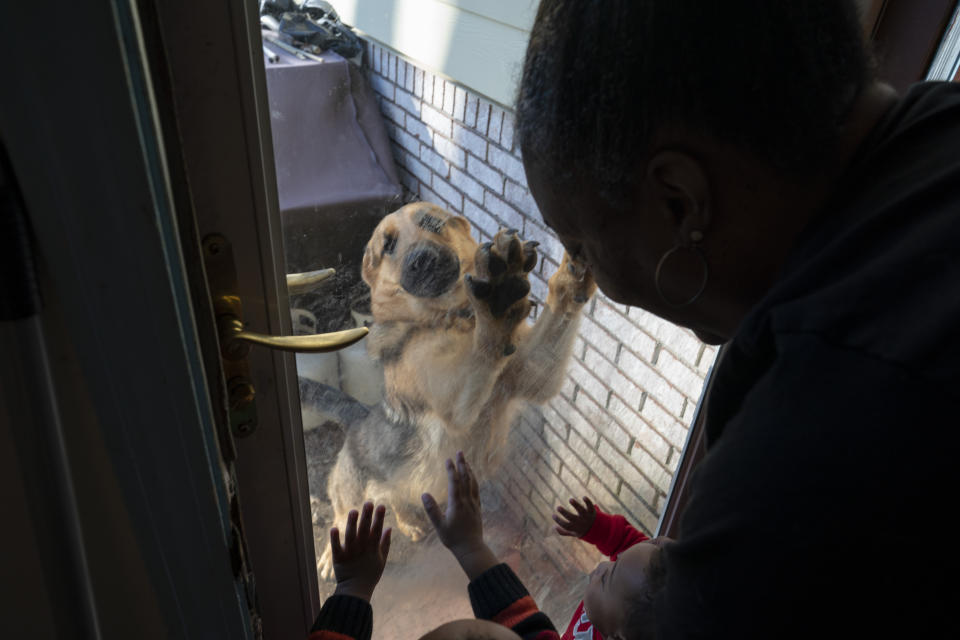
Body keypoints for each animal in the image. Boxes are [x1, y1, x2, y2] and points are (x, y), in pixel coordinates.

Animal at [318, 202, 596, 576]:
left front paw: (572, 272)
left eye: (432, 223)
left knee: (393, 500)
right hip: (352, 499)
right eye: (388, 246)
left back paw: (408, 522)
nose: (421, 260)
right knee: (340, 519)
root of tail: (357, 417)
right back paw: (330, 557)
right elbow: (485, 346)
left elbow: (558, 308)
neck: (456, 318)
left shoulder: (534, 373)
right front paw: (498, 302)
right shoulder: (456, 404)